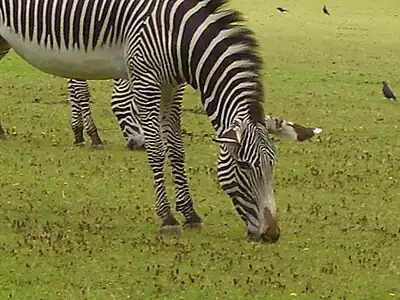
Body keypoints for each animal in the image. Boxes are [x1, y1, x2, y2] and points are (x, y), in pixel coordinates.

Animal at [0, 0, 308, 241]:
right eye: (244, 166)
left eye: (273, 166)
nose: (272, 235)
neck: (179, 36)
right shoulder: (146, 80)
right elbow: (157, 151)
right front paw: (168, 219)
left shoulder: (173, 85)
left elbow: (177, 150)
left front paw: (190, 214)